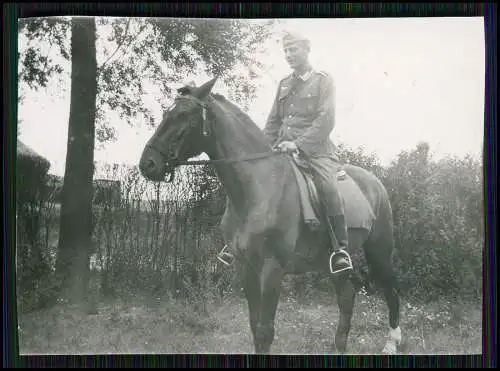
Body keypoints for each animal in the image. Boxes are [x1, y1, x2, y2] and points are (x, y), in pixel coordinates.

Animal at [138, 77, 402, 354]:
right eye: (166, 114)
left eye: (184, 114)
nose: (148, 164)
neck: (259, 186)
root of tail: (376, 182)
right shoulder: (247, 267)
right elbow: (255, 327)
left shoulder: (272, 269)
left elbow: (266, 331)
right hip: (332, 261)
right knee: (347, 295)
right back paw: (339, 347)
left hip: (380, 251)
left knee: (391, 290)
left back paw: (391, 344)